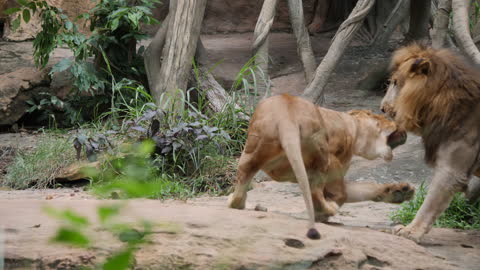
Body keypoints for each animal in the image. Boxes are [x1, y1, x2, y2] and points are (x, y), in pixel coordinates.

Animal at [228, 94, 412, 239]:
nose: (405, 131)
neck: (353, 126)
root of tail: (286, 116)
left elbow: (364, 189)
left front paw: (400, 192)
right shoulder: (335, 163)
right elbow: (342, 193)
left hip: (253, 150)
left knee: (242, 182)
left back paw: (238, 203)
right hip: (322, 154)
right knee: (316, 192)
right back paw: (327, 210)